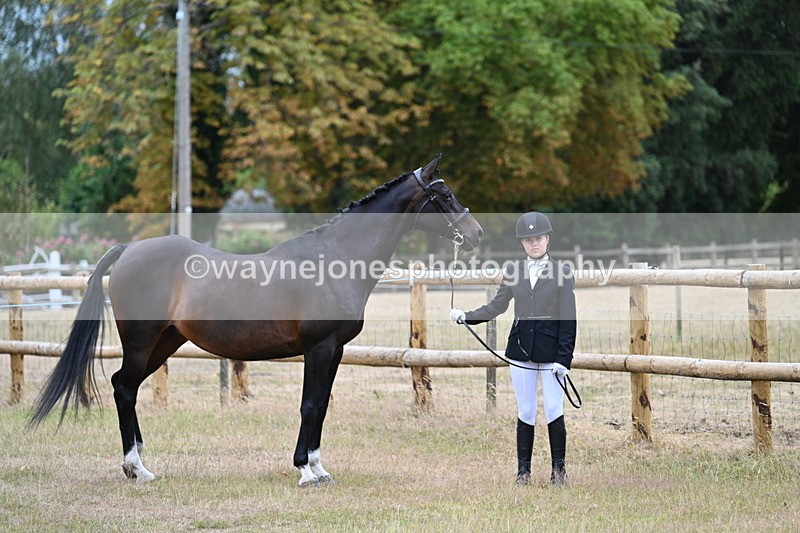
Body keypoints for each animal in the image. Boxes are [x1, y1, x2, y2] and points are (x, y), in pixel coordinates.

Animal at [29, 154, 483, 487]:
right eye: (444, 194)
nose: (476, 233)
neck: (334, 260)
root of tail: (128, 250)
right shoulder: (318, 348)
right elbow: (309, 405)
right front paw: (304, 470)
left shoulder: (335, 351)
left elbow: (321, 407)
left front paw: (319, 467)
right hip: (142, 342)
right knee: (124, 388)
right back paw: (135, 468)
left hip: (165, 342)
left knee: (128, 387)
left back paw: (138, 462)